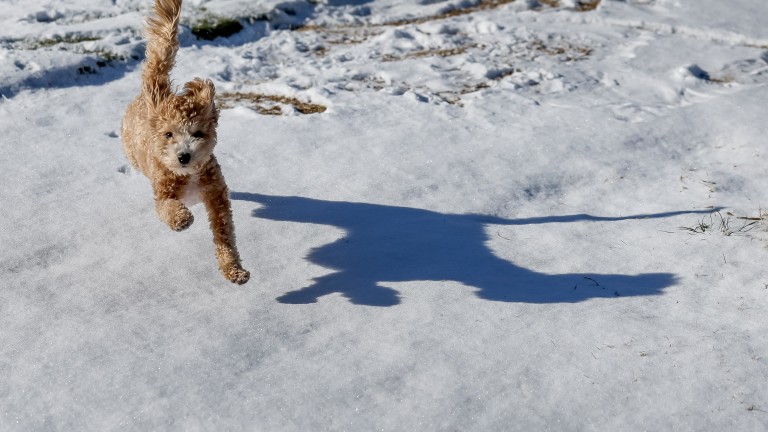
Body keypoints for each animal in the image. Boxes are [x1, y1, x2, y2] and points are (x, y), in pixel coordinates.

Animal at [121, 0, 249, 284]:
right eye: (169, 134)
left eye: (197, 133)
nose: (184, 156)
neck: (188, 175)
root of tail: (159, 96)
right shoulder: (163, 191)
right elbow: (166, 207)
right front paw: (181, 218)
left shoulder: (216, 195)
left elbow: (224, 233)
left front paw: (234, 269)